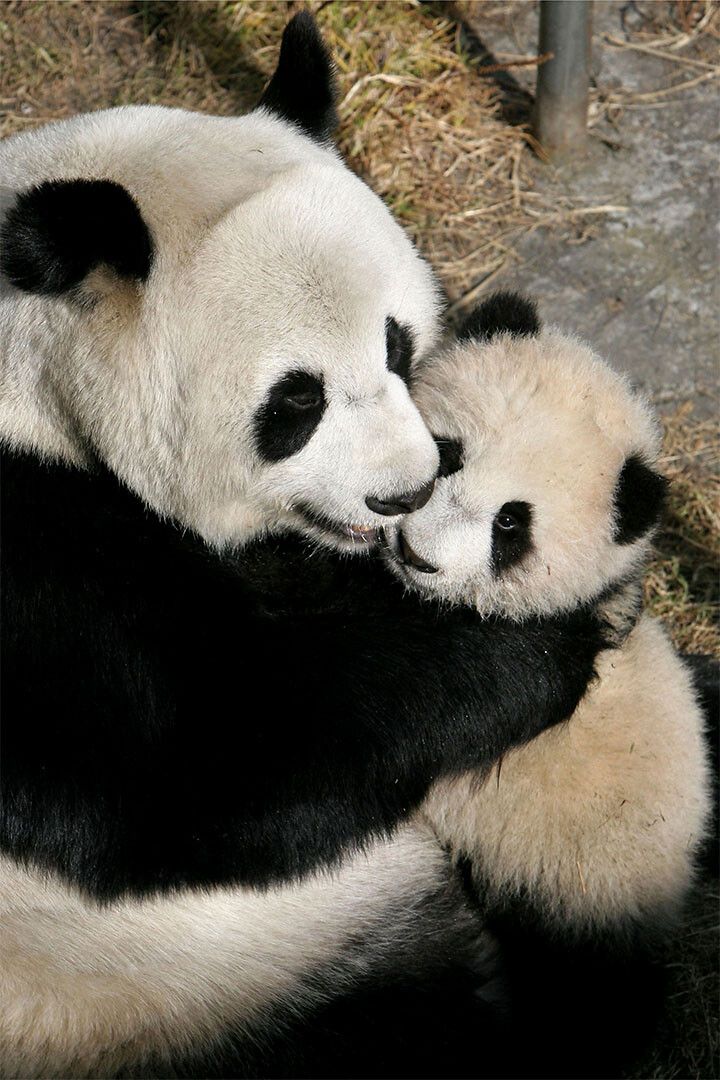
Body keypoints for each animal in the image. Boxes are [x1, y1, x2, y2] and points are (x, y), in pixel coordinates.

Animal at [0, 18, 609, 1080]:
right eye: (295, 402)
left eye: (398, 345)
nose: (405, 492)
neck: (32, 377)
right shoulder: (26, 571)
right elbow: (213, 766)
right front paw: (542, 637)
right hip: (158, 992)